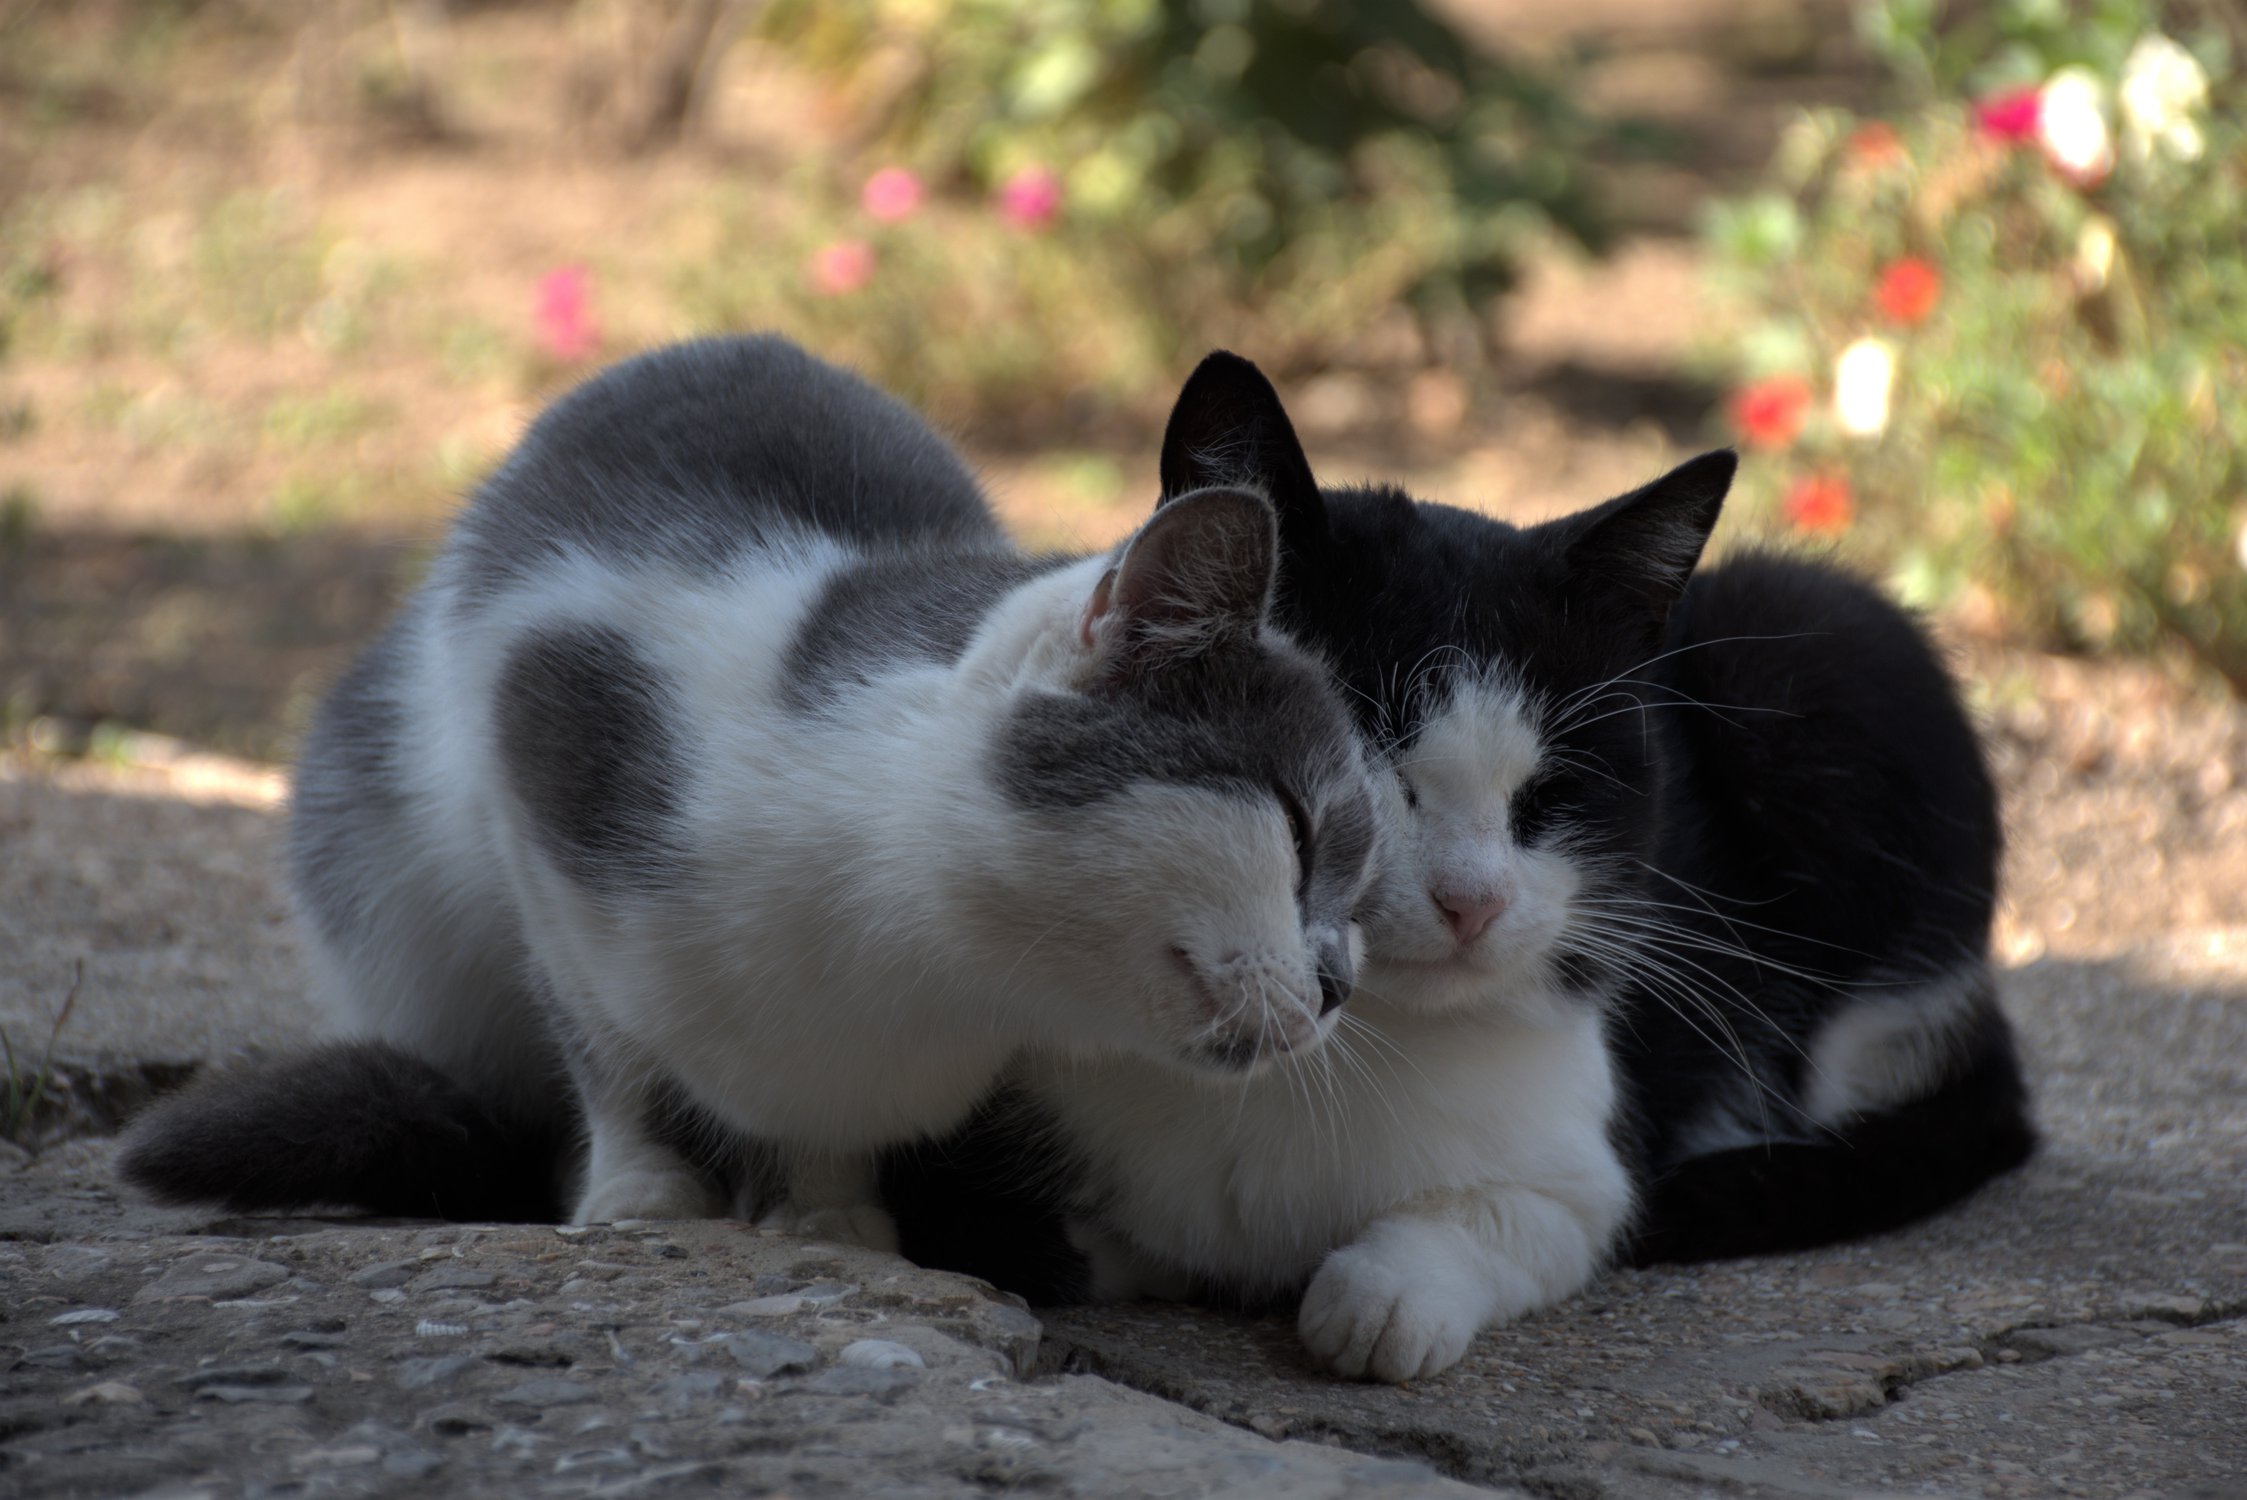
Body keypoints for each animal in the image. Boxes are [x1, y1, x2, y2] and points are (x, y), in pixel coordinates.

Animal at [120, 335, 1385, 1243]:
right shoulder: (543, 749)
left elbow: (817, 1128)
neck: (927, 974)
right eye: (1299, 830)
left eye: (1354, 878)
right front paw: (640, 1197)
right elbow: (610, 1054)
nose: (1339, 985)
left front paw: (833, 1217)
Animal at [882, 352, 2034, 1383]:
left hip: (1817, 637)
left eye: (1552, 792)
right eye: (1364, 757)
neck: (1330, 1057)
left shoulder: (1582, 1157)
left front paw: (1385, 1293)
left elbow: (1544, 1216)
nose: (1473, 901)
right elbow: (994, 1232)